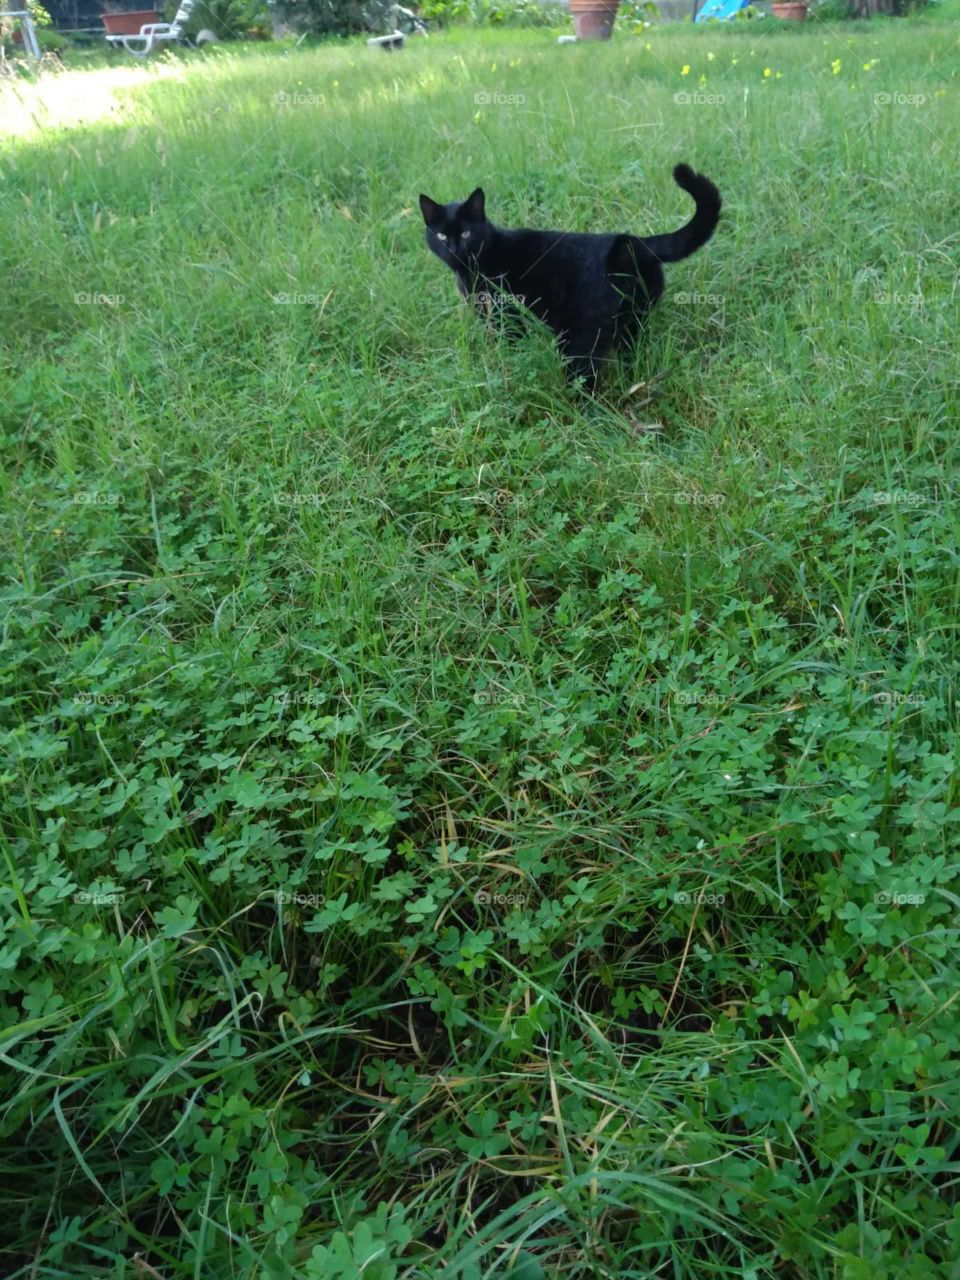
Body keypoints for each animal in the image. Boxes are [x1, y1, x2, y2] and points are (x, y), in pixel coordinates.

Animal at [419, 162, 721, 389]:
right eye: (441, 235)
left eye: (466, 233)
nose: (453, 248)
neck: (472, 271)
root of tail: (629, 243)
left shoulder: (508, 316)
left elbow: (512, 345)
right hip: (634, 321)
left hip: (579, 337)